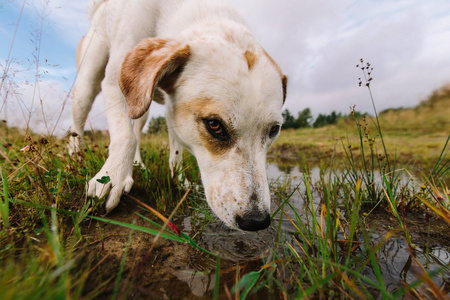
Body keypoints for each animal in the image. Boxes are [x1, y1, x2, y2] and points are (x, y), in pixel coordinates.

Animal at [70, 0, 288, 232]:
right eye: (214, 125)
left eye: (274, 130)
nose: (256, 221)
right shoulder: (113, 81)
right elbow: (124, 137)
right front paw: (112, 176)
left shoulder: (171, 106)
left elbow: (175, 151)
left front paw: (179, 182)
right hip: (88, 83)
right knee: (79, 125)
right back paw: (76, 157)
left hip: (141, 106)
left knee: (137, 128)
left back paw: (137, 165)